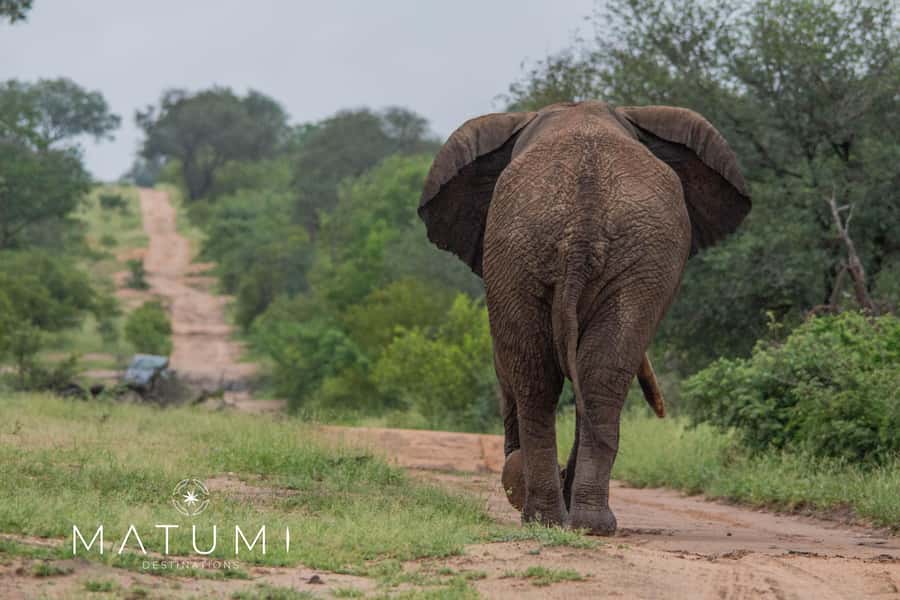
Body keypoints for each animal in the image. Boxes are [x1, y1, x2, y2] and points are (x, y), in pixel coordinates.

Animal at [418, 100, 750, 534]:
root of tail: (582, 224)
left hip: (602, 255)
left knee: (566, 376)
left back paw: (567, 520)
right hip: (546, 252)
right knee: (565, 377)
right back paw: (568, 521)